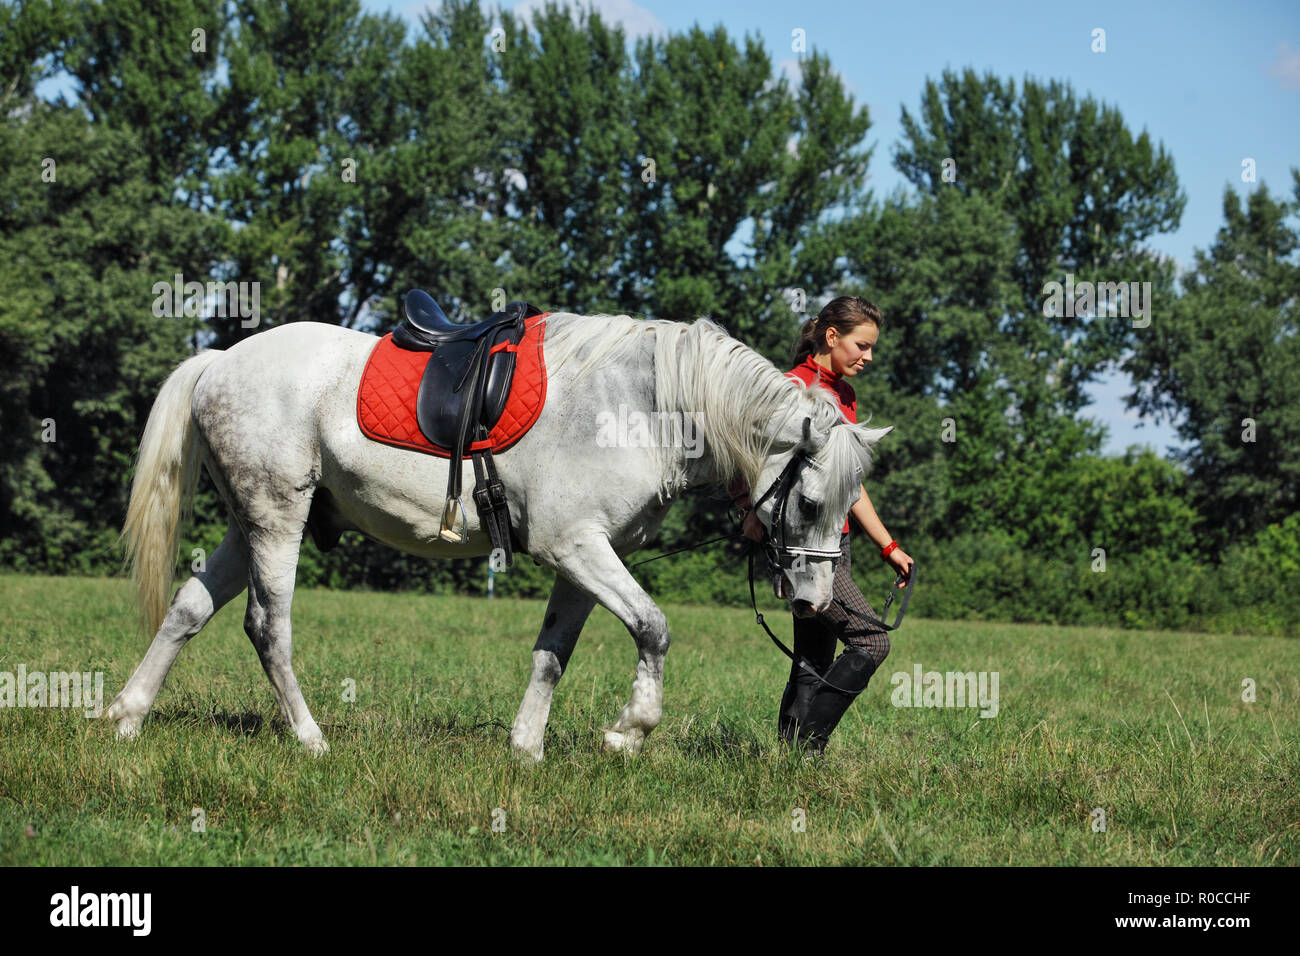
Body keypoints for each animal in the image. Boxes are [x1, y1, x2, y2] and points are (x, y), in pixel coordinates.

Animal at [109, 314, 894, 764]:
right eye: (811, 501)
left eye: (849, 511)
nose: (815, 601)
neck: (642, 404)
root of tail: (219, 360)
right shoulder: (575, 547)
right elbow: (654, 628)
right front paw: (628, 731)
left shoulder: (583, 558)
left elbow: (553, 655)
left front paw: (527, 751)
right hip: (277, 518)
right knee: (268, 627)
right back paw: (309, 740)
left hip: (249, 524)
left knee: (187, 610)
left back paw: (125, 716)